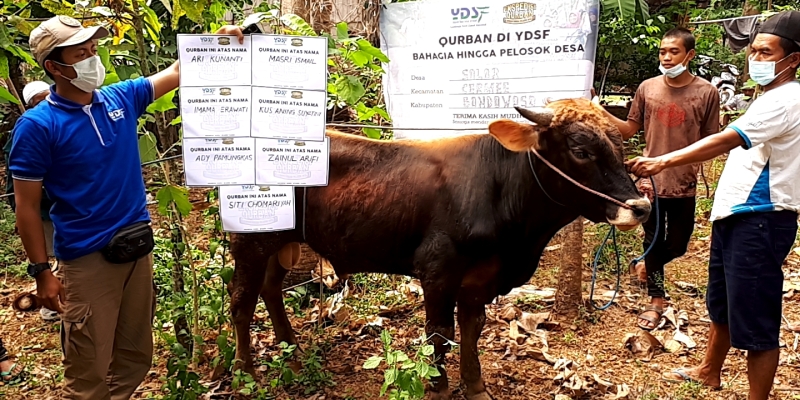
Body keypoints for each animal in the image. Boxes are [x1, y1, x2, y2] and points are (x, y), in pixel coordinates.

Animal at [230, 97, 648, 400]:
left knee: (270, 290)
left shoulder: (479, 278)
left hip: (282, 243)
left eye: (620, 146)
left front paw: (475, 386)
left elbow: (472, 328)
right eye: (581, 150)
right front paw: (439, 387)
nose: (641, 207)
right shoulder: (437, 271)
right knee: (241, 303)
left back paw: (294, 356)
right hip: (250, 241)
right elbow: (439, 333)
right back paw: (245, 373)